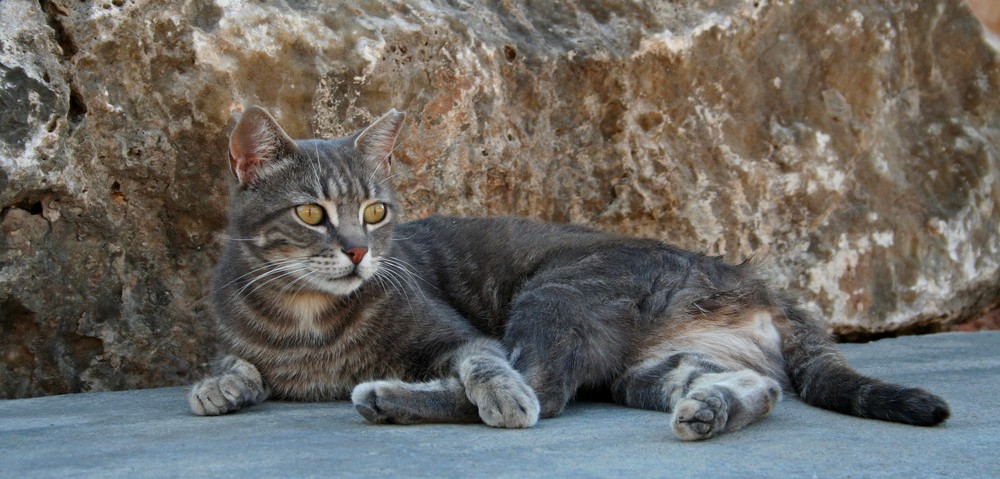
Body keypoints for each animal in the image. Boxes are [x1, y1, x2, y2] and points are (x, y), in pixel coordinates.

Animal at [191, 107, 948, 440]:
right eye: (313, 213)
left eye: (375, 211)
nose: (357, 251)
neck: (307, 319)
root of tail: (754, 277)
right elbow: (238, 361)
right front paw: (219, 384)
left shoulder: (466, 337)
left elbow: (489, 368)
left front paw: (496, 396)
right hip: (655, 365)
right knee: (757, 386)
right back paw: (710, 409)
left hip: (556, 293)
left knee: (546, 388)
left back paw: (391, 397)